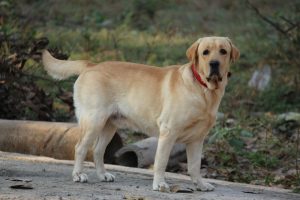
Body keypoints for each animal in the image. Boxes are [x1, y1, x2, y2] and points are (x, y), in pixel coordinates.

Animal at [41, 36, 239, 192]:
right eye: (205, 52)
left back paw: (103, 175)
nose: (214, 64)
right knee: (80, 148)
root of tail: (92, 65)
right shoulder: (168, 133)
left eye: (223, 51)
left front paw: (200, 185)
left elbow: (194, 166)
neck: (203, 90)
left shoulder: (197, 139)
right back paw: (78, 175)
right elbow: (161, 162)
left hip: (109, 125)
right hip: (93, 121)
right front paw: (159, 184)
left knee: (97, 150)